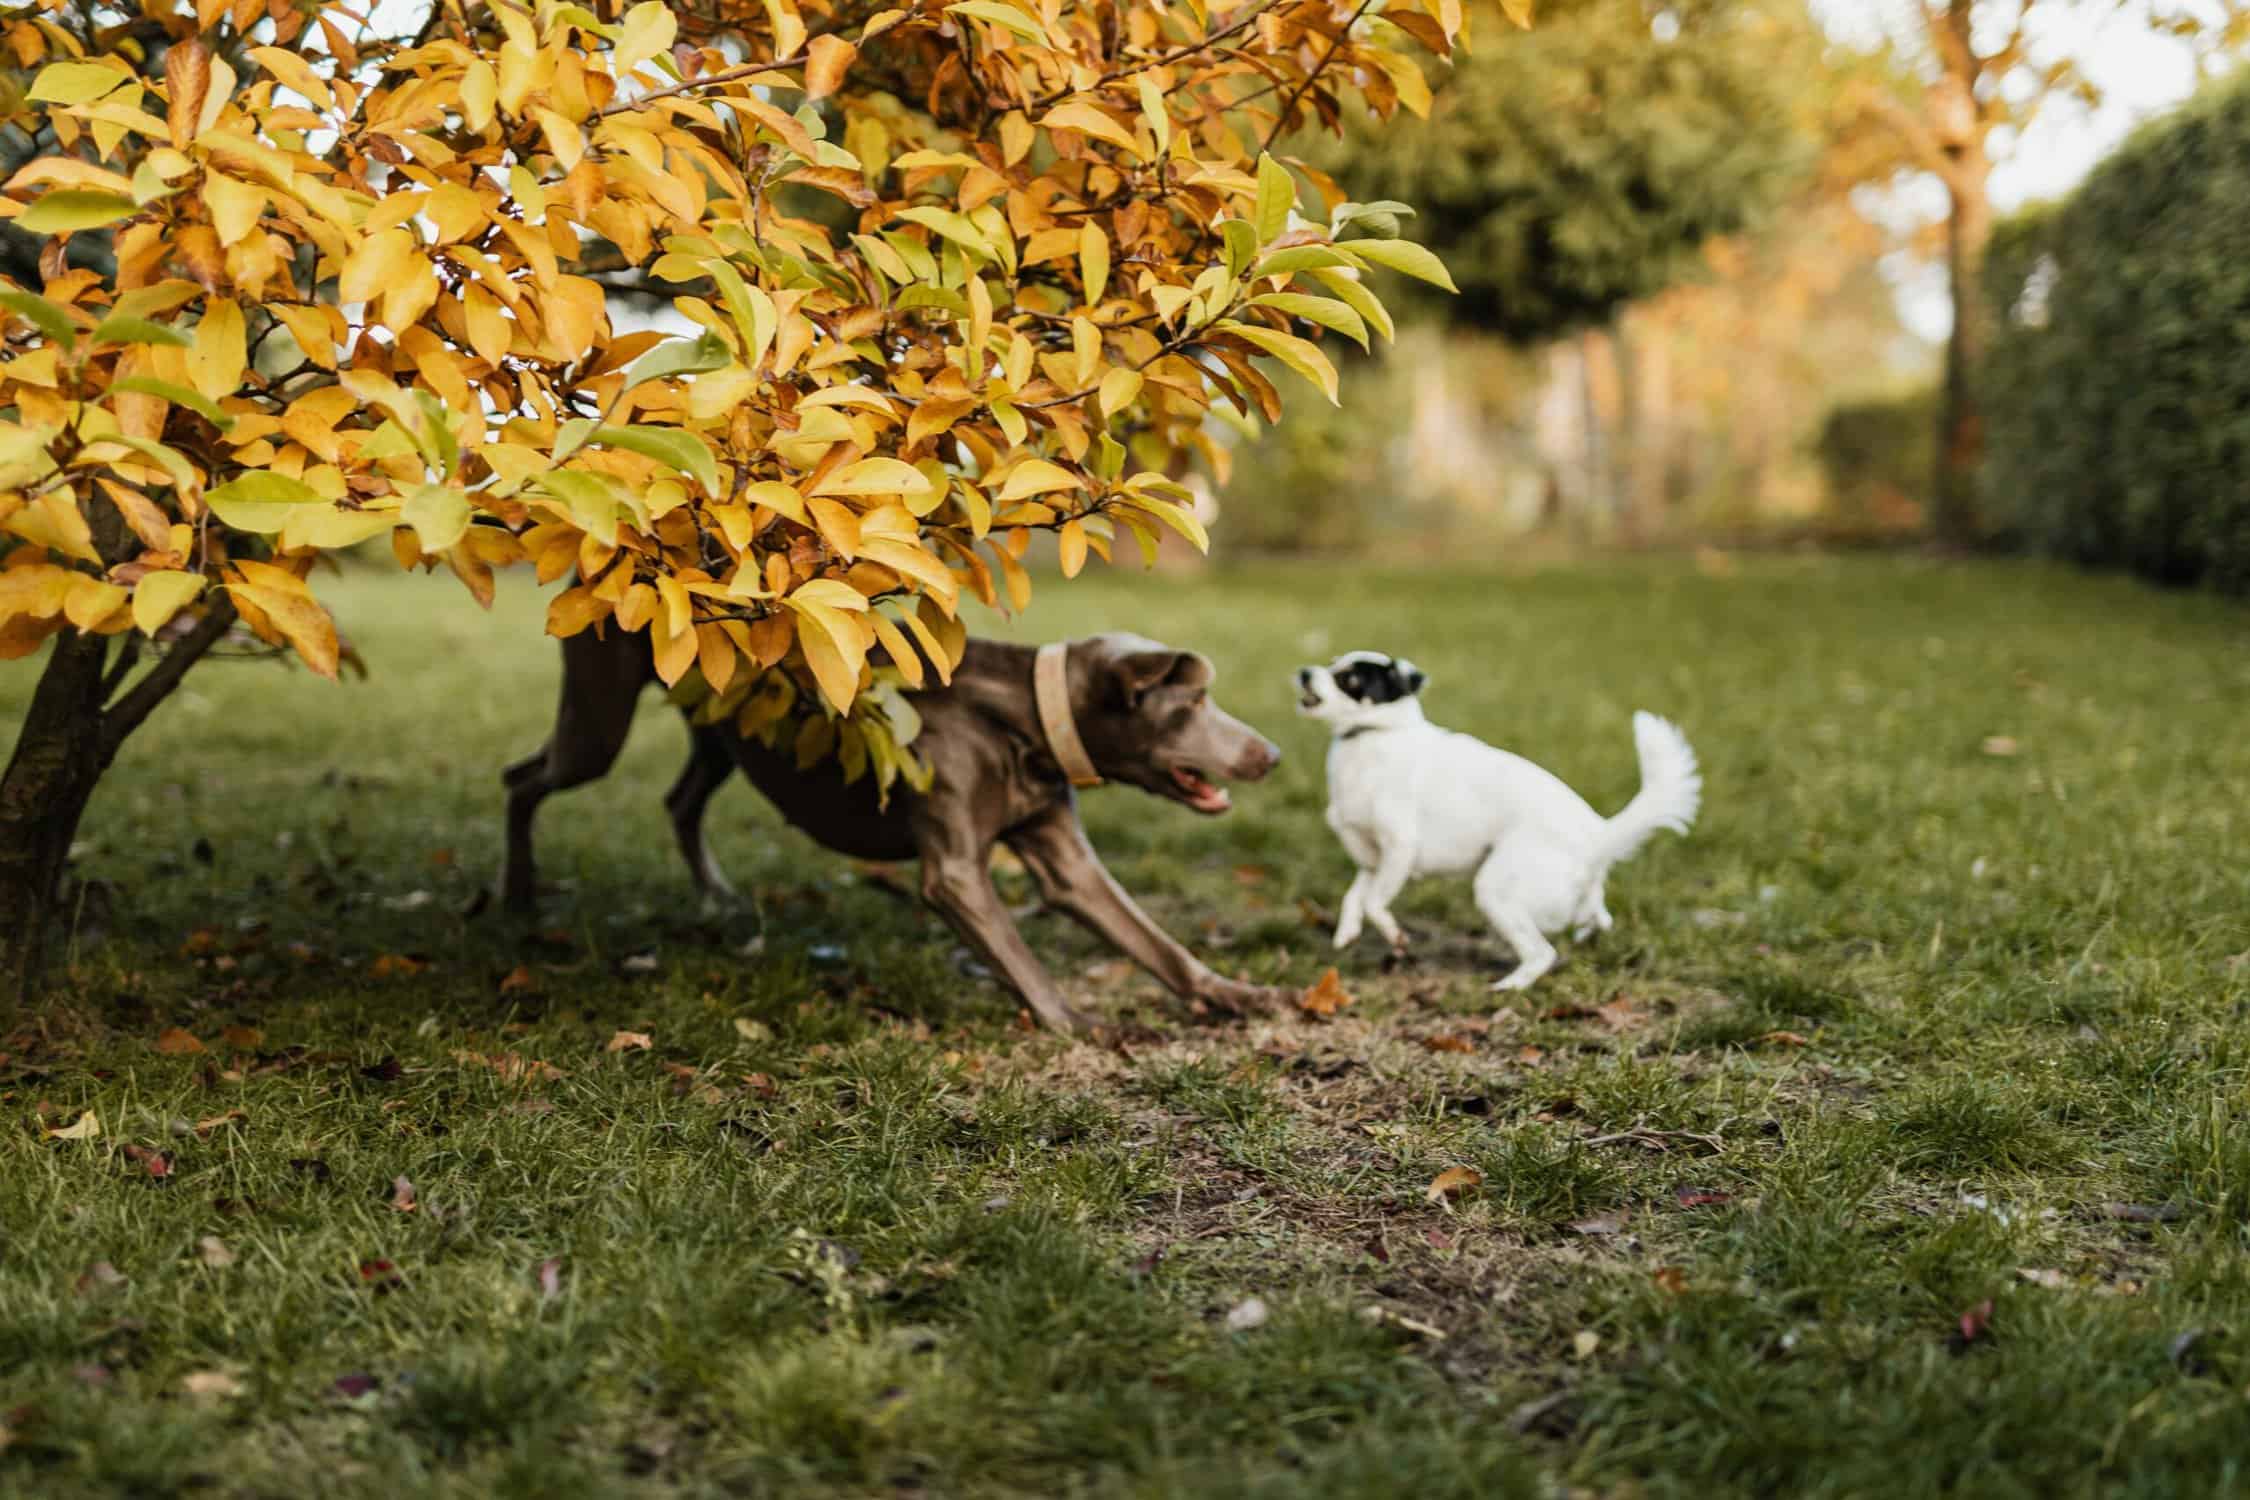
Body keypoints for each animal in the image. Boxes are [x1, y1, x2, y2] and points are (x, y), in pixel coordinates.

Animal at [501, 629, 1296, 1034]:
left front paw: (1235, 993)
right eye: (1192, 703)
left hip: (720, 730)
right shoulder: (956, 874)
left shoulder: (1063, 854)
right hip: (598, 720)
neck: (1018, 723)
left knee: (680, 801)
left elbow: (1153, 941)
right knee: (523, 779)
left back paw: (716, 896)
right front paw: (1078, 1021)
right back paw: (517, 896)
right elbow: (1020, 956)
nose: (1274, 754)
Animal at [1296, 652, 1692, 989]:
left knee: (1542, 953)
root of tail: (1599, 834)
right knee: (1597, 916)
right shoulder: (1373, 857)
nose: (1304, 672)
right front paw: (1346, 932)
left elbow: (1374, 903)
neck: (1372, 736)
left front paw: (1396, 936)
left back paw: (1508, 987)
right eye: (1331, 663)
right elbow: (1355, 896)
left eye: (1348, 679)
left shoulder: (1399, 847)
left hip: (1495, 890)